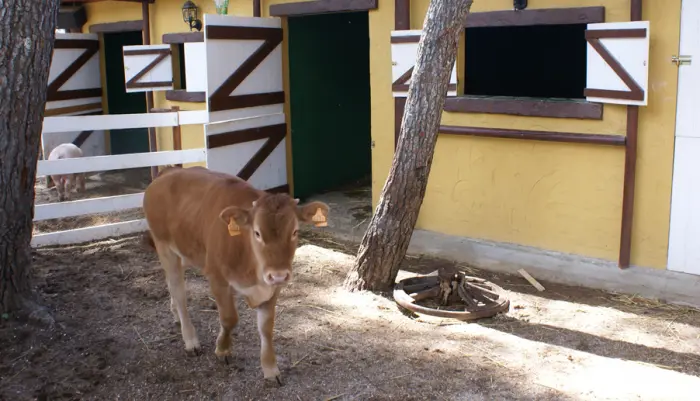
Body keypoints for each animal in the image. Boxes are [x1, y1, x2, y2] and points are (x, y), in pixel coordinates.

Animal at [142, 165, 330, 382]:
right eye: (257, 233)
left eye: (295, 232)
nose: (279, 275)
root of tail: (167, 171)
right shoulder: (217, 278)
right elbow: (229, 318)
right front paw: (222, 349)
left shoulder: (272, 287)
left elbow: (266, 327)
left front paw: (270, 369)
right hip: (164, 246)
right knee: (178, 291)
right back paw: (190, 339)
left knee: (171, 285)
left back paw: (175, 315)